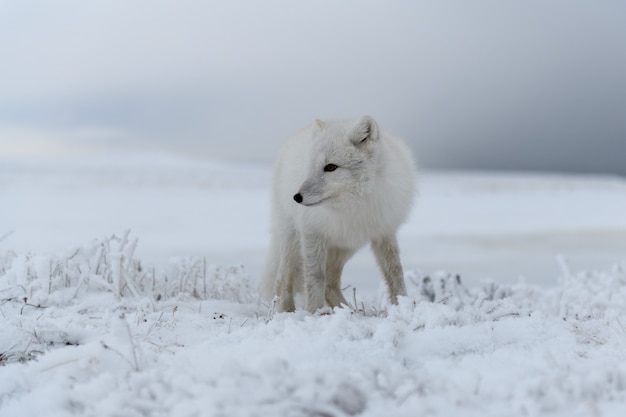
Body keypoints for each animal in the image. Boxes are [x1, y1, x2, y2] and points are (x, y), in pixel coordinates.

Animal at [258, 114, 414, 312]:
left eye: (331, 167)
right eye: (311, 167)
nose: (297, 197)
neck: (352, 206)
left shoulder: (384, 232)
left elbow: (395, 271)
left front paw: (403, 305)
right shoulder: (312, 232)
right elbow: (315, 277)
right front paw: (314, 312)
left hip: (344, 247)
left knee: (330, 284)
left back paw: (349, 311)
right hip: (292, 239)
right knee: (283, 278)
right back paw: (287, 312)